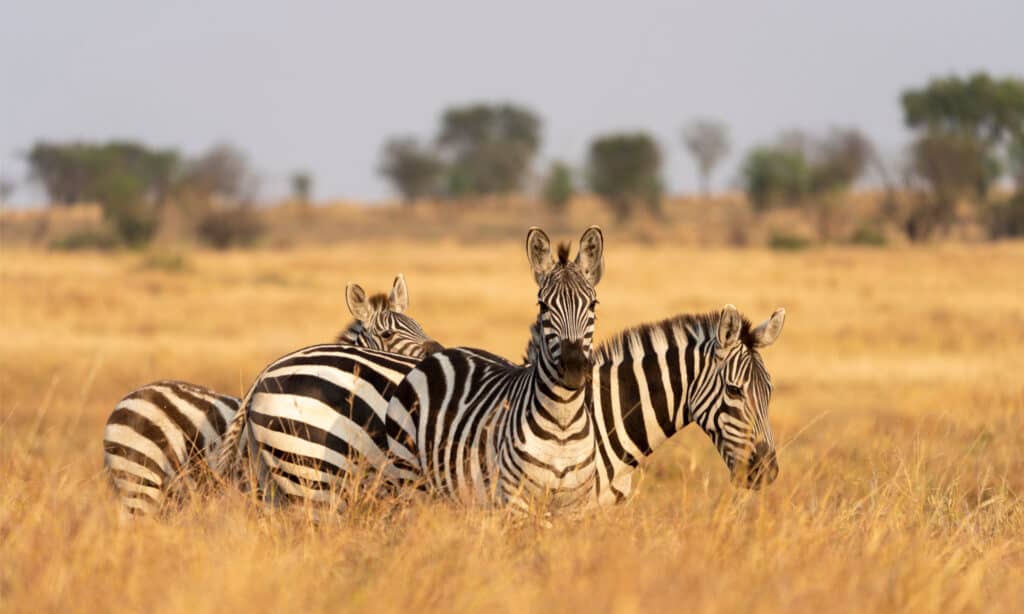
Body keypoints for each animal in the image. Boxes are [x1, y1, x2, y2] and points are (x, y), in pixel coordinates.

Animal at [387, 225, 602, 513]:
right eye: (543, 306)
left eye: (592, 304)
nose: (574, 368)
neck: (563, 424)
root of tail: (443, 353)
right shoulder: (515, 501)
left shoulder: (576, 507)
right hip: (406, 474)